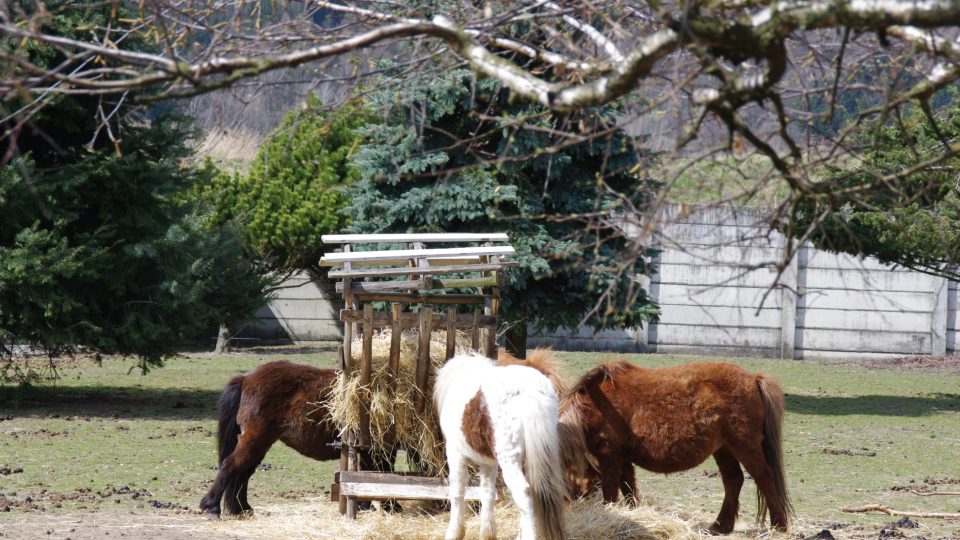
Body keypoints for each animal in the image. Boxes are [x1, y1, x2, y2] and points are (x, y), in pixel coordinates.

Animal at [199, 360, 342, 516]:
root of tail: (245, 379)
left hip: (259, 445)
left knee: (243, 472)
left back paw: (243, 508)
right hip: (254, 441)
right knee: (229, 465)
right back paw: (212, 507)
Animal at [436, 352, 568, 540]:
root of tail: (530, 391)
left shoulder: (455, 453)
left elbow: (457, 490)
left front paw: (454, 533)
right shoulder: (488, 462)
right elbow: (487, 493)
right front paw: (487, 533)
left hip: (509, 460)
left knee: (524, 493)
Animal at [568, 360, 792, 532]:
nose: (571, 504)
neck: (591, 409)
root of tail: (754, 379)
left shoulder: (610, 457)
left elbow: (611, 492)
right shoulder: (622, 460)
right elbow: (629, 488)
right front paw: (634, 515)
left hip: (744, 446)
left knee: (764, 477)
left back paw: (778, 526)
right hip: (724, 449)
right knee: (733, 480)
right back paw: (721, 526)